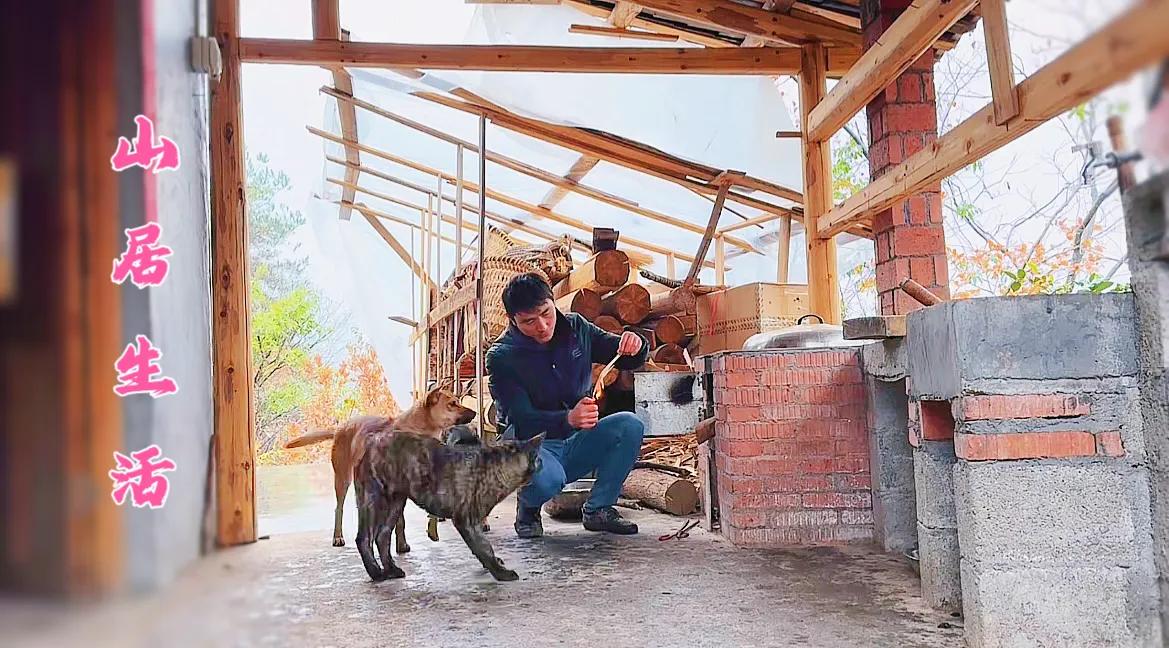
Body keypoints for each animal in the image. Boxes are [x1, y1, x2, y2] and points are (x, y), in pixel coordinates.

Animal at [282, 385, 474, 547]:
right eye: (452, 404)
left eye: (458, 401)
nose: (474, 412)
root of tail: (340, 428)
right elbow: (401, 521)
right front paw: (401, 545)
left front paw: (431, 530)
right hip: (342, 479)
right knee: (339, 509)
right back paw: (338, 537)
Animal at [353, 428, 544, 580]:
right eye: (537, 458)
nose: (542, 463)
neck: (495, 467)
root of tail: (372, 441)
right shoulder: (466, 520)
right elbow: (484, 547)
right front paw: (499, 572)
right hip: (373, 501)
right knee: (364, 538)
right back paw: (376, 573)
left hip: (396, 503)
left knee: (382, 536)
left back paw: (391, 570)